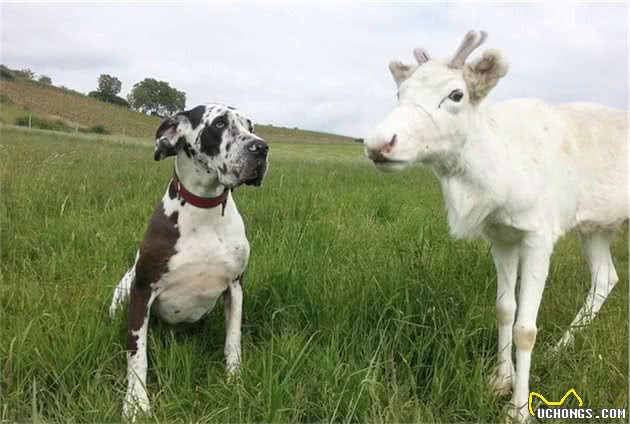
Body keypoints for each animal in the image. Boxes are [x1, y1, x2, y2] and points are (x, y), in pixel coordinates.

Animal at [110, 102, 268, 418]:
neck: (204, 210)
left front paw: (235, 382)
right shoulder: (142, 290)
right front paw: (136, 403)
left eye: (250, 126)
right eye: (219, 123)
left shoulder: (235, 287)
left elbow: (233, 341)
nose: (261, 148)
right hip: (121, 294)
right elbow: (137, 354)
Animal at [362, 29, 628, 420]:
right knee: (606, 277)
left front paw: (518, 408)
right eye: (400, 92)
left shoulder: (539, 234)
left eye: (456, 94)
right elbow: (505, 310)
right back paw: (559, 348)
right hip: (596, 227)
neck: (496, 165)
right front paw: (501, 379)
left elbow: (526, 329)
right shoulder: (500, 236)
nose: (379, 143)